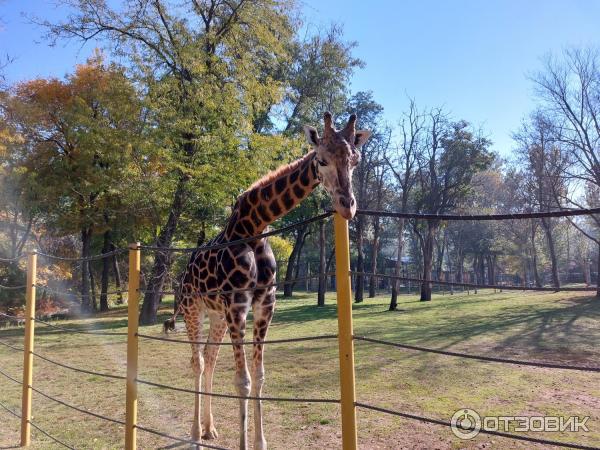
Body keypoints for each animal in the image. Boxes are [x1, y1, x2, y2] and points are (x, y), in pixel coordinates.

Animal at [168, 111, 370, 446]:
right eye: (322, 159)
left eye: (355, 160)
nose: (348, 206)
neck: (255, 227)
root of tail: (183, 273)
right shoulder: (237, 306)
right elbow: (243, 380)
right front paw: (243, 444)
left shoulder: (265, 306)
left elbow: (259, 376)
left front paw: (260, 443)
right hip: (192, 309)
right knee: (197, 362)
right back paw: (196, 433)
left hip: (216, 315)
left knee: (210, 358)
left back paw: (209, 428)